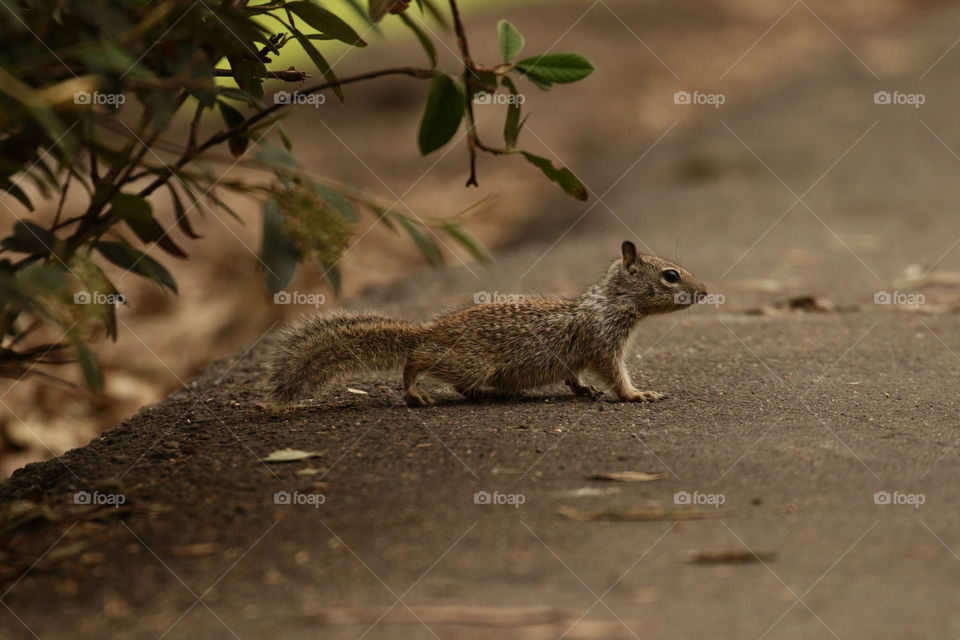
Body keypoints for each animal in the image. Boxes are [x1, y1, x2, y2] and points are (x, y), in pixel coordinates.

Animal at [266, 242, 708, 408]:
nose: (704, 292)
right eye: (670, 275)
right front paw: (637, 394)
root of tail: (429, 330)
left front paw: (584, 391)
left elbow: (575, 375)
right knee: (418, 362)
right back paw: (420, 392)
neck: (609, 301)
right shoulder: (602, 342)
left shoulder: (580, 357)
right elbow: (615, 374)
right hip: (468, 361)